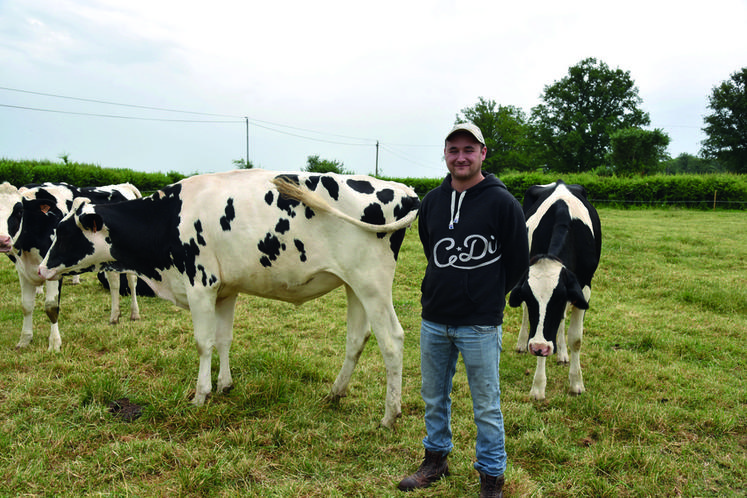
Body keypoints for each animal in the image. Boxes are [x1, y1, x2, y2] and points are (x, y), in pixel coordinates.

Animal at [9, 182, 143, 350]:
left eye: (18, 211)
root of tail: (125, 185)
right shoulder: (23, 269)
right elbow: (26, 305)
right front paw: (24, 340)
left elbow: (51, 306)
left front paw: (54, 344)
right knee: (114, 283)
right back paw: (114, 316)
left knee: (131, 282)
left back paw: (135, 314)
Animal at [41, 168, 420, 428]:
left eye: (64, 232)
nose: (43, 268)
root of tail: (403, 189)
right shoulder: (225, 290)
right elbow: (224, 339)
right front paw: (224, 385)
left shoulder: (200, 284)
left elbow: (203, 342)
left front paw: (200, 394)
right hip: (353, 284)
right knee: (357, 338)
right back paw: (335, 393)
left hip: (372, 283)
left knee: (392, 340)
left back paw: (390, 415)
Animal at [508, 181, 600, 402]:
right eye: (529, 298)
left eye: (558, 298)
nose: (538, 347)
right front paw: (538, 387)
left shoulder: (584, 288)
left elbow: (575, 338)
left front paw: (576, 383)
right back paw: (522, 344)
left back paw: (563, 355)